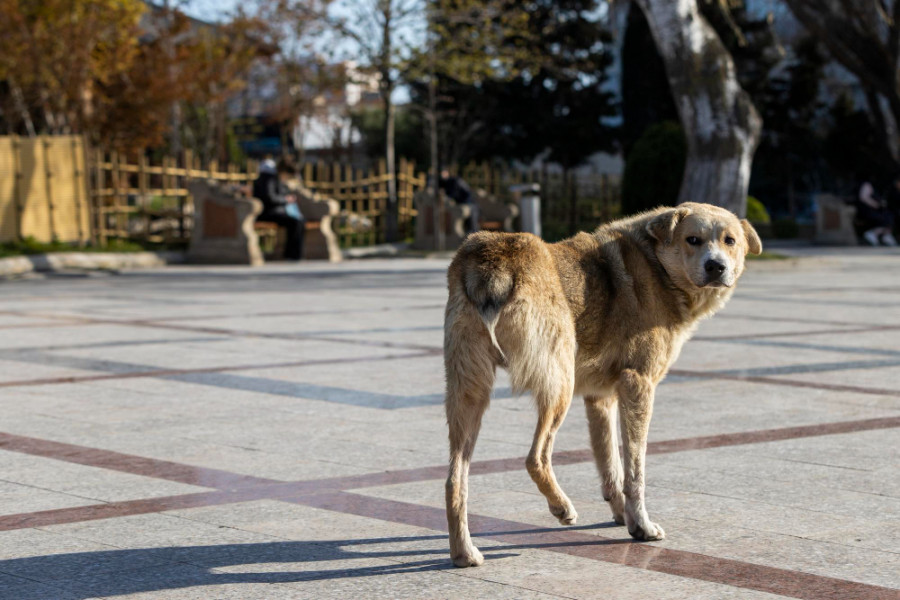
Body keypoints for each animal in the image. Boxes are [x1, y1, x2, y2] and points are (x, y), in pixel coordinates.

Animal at [442, 203, 760, 568]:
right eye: (693, 239)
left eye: (729, 240)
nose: (716, 266)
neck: (656, 265)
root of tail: (494, 257)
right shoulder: (638, 385)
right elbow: (635, 470)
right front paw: (643, 525)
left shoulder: (600, 398)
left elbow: (611, 466)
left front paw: (625, 518)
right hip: (559, 385)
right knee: (535, 458)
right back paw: (561, 507)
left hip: (469, 393)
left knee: (454, 479)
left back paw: (464, 552)